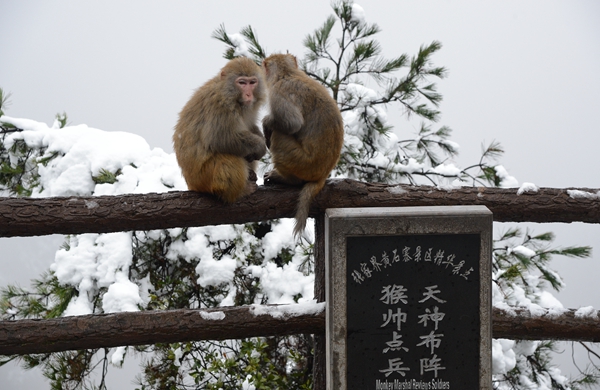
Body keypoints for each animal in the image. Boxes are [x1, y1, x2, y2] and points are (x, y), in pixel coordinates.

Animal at [173, 58, 268, 204]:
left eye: (252, 82)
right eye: (242, 83)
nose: (248, 94)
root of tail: (191, 184)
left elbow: (250, 126)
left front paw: (260, 138)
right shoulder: (220, 104)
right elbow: (219, 138)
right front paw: (260, 146)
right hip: (203, 178)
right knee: (228, 159)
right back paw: (239, 192)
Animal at [262, 53, 342, 238]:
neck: (287, 73)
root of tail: (322, 176)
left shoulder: (278, 92)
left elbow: (292, 123)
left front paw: (266, 123)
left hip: (300, 162)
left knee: (279, 135)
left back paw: (287, 179)